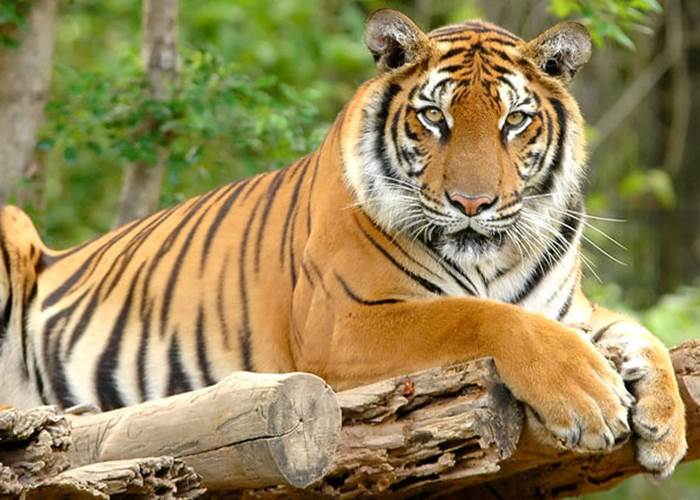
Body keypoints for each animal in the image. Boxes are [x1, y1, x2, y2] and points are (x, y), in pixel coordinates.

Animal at [0, 9, 686, 478]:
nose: (471, 204)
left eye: (514, 121)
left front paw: (666, 425)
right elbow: (478, 315)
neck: (491, 259)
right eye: (434, 117)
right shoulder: (345, 323)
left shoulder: (568, 309)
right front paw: (588, 398)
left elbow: (638, 333)